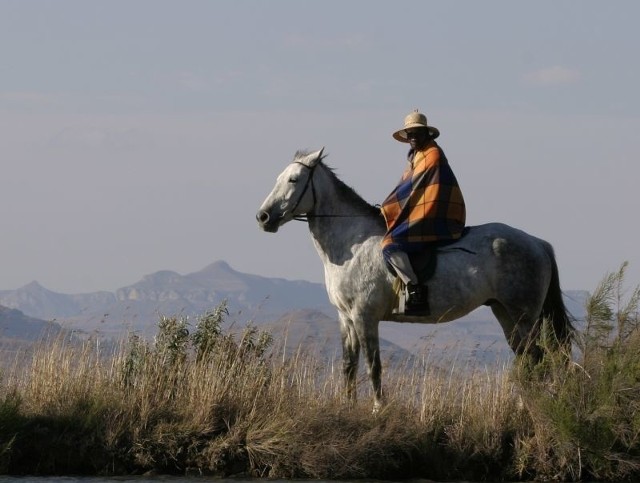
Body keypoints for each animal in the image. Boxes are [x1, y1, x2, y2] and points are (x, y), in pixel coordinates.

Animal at [256, 148, 576, 412]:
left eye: (294, 179)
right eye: (279, 178)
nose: (263, 217)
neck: (352, 245)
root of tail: (537, 243)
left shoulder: (364, 317)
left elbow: (373, 365)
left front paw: (378, 409)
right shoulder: (345, 317)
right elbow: (349, 365)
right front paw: (347, 406)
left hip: (524, 316)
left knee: (535, 359)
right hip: (505, 314)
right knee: (526, 359)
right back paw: (523, 406)